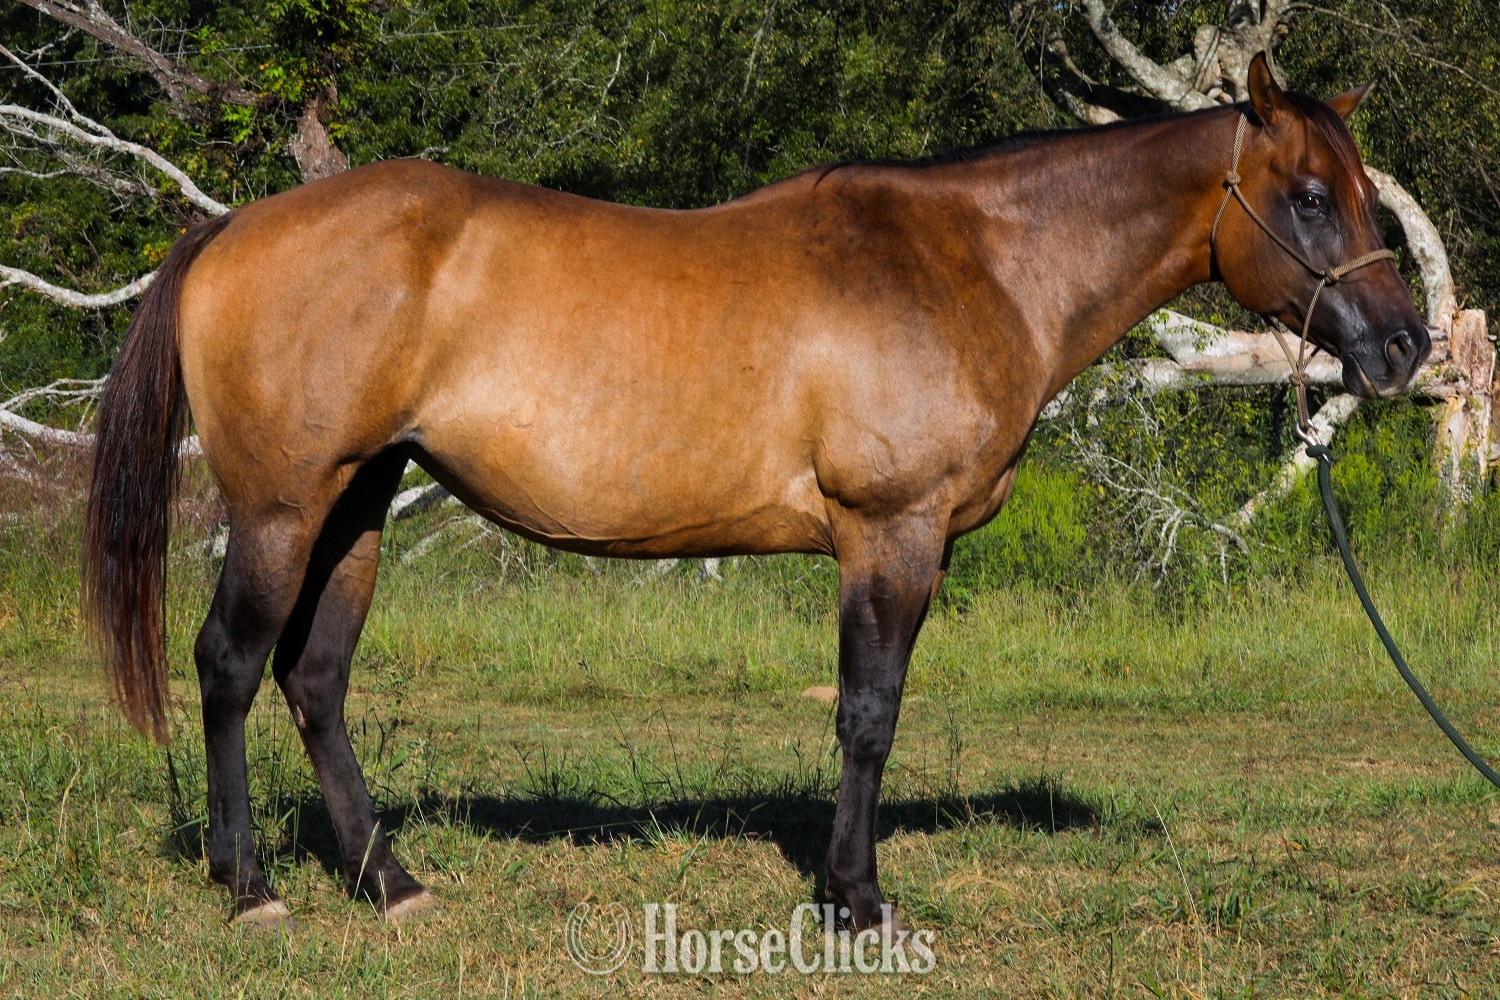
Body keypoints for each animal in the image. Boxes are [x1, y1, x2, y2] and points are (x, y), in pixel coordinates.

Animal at [84, 52, 1428, 928]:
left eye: (1366, 193)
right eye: (1311, 195)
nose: (1405, 347)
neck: (975, 264)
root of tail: (237, 229)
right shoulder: (892, 534)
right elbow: (868, 713)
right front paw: (857, 898)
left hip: (357, 504)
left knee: (315, 680)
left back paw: (390, 881)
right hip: (281, 510)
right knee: (229, 665)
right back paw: (250, 889)